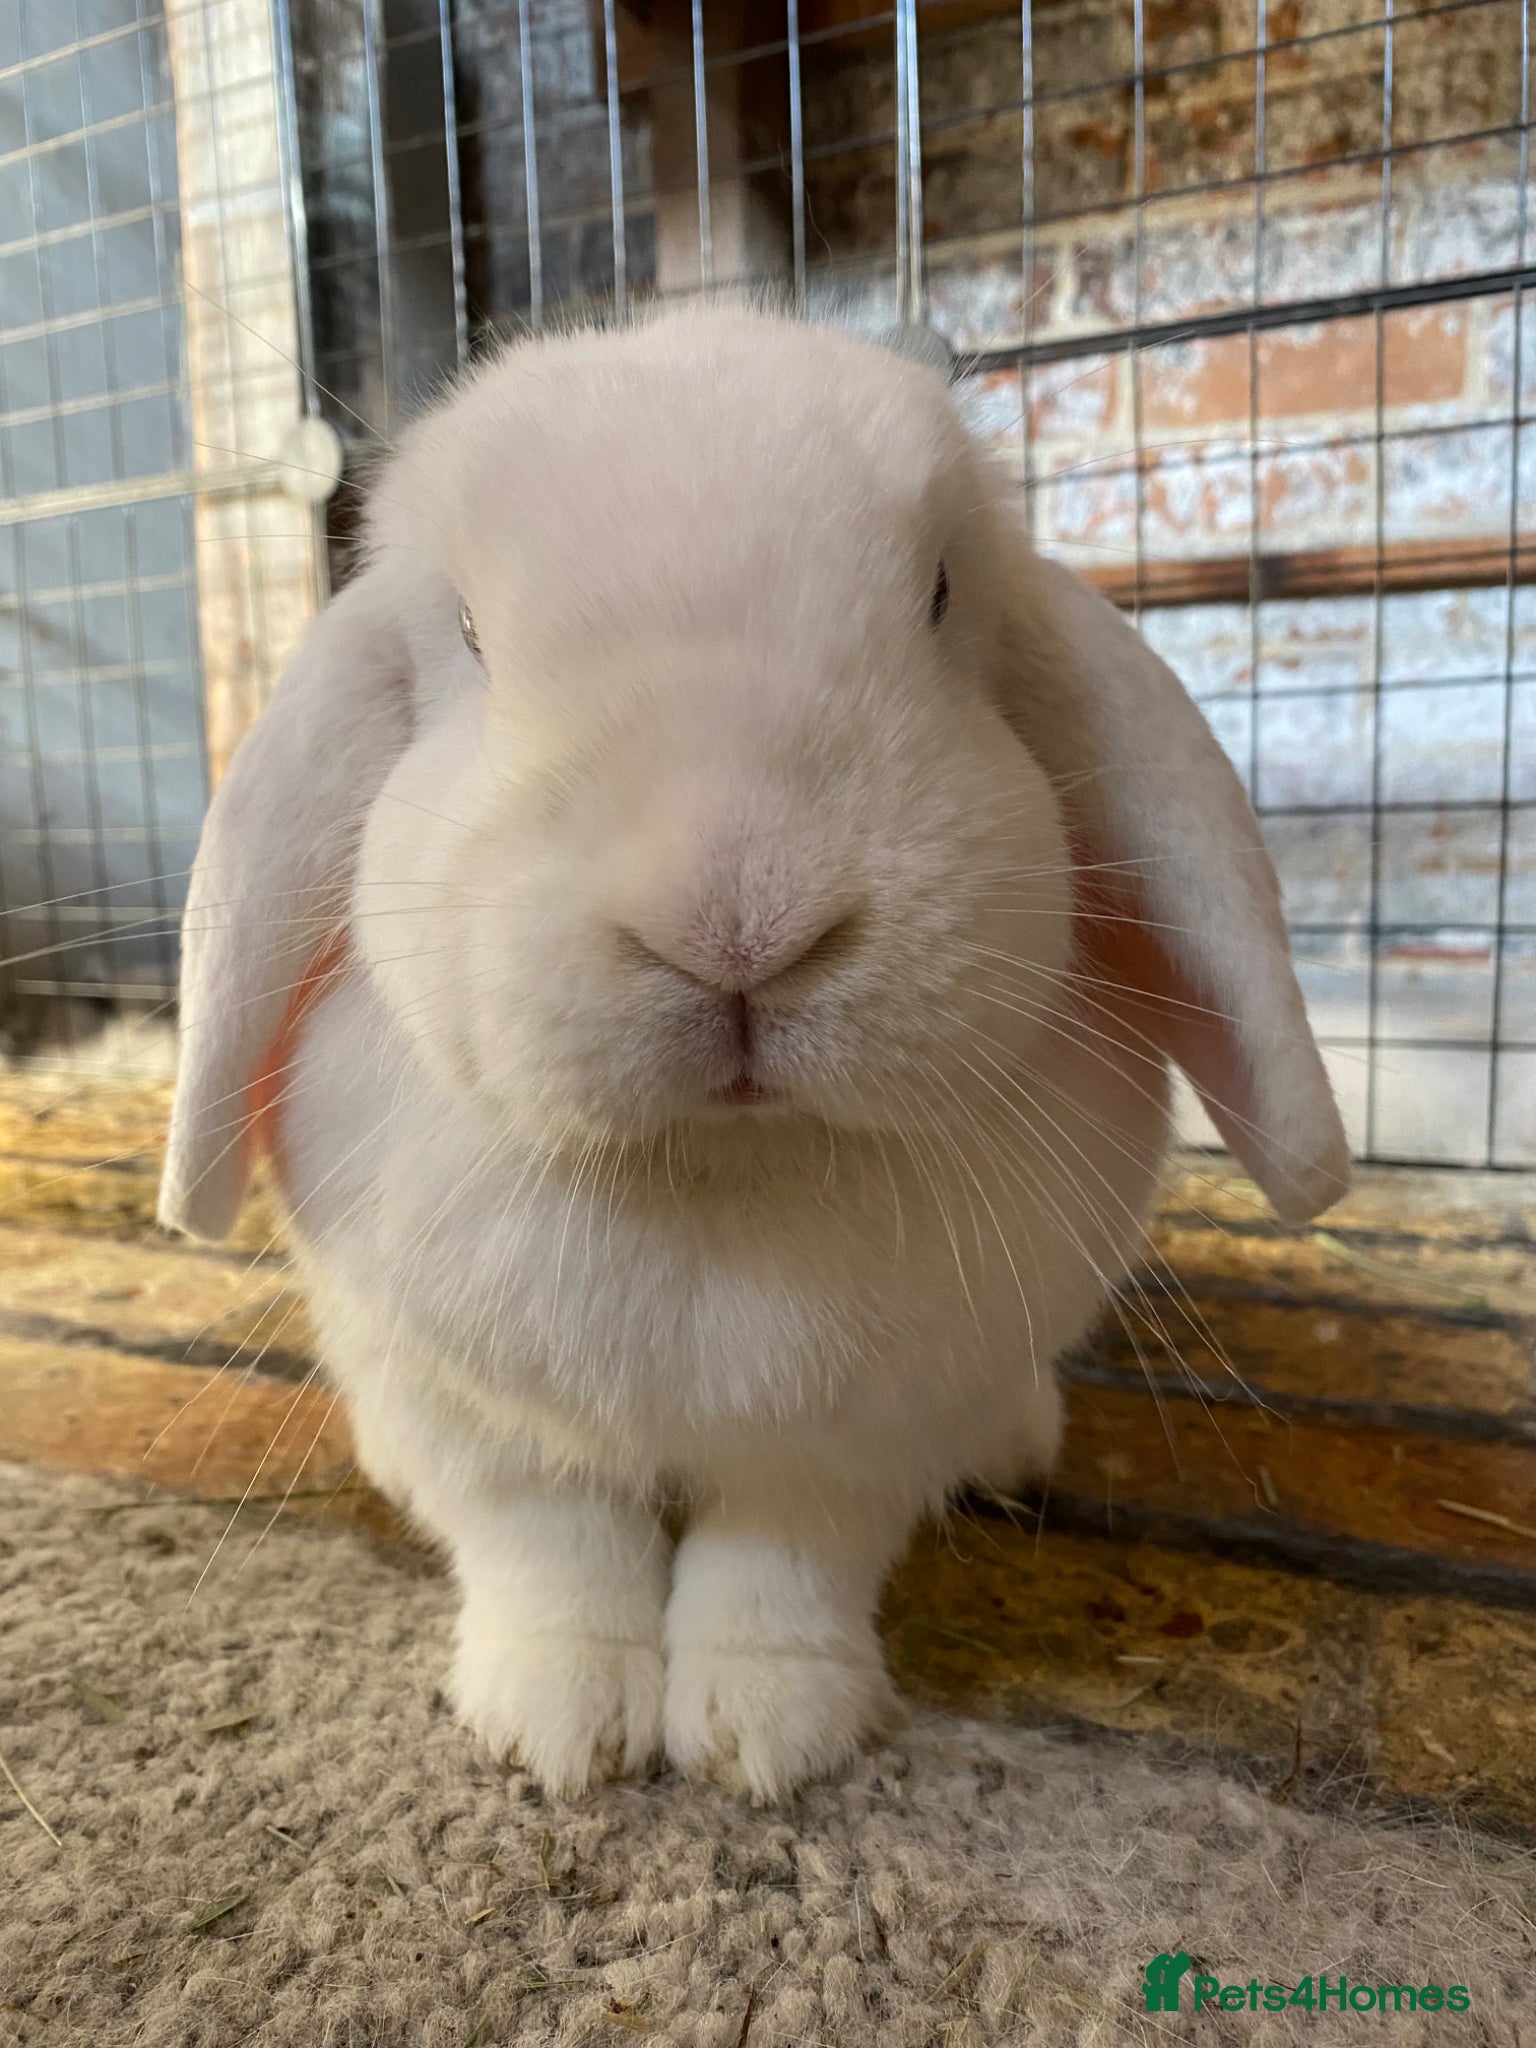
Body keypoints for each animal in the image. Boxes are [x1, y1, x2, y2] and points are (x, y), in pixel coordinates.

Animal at [159, 305, 1349, 1802]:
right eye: (472, 637)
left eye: (942, 596)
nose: (737, 924)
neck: (723, 1181)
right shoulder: (471, 1422)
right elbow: (552, 1550)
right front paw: (562, 1724)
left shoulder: (863, 1441)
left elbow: (784, 1567)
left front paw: (764, 1733)